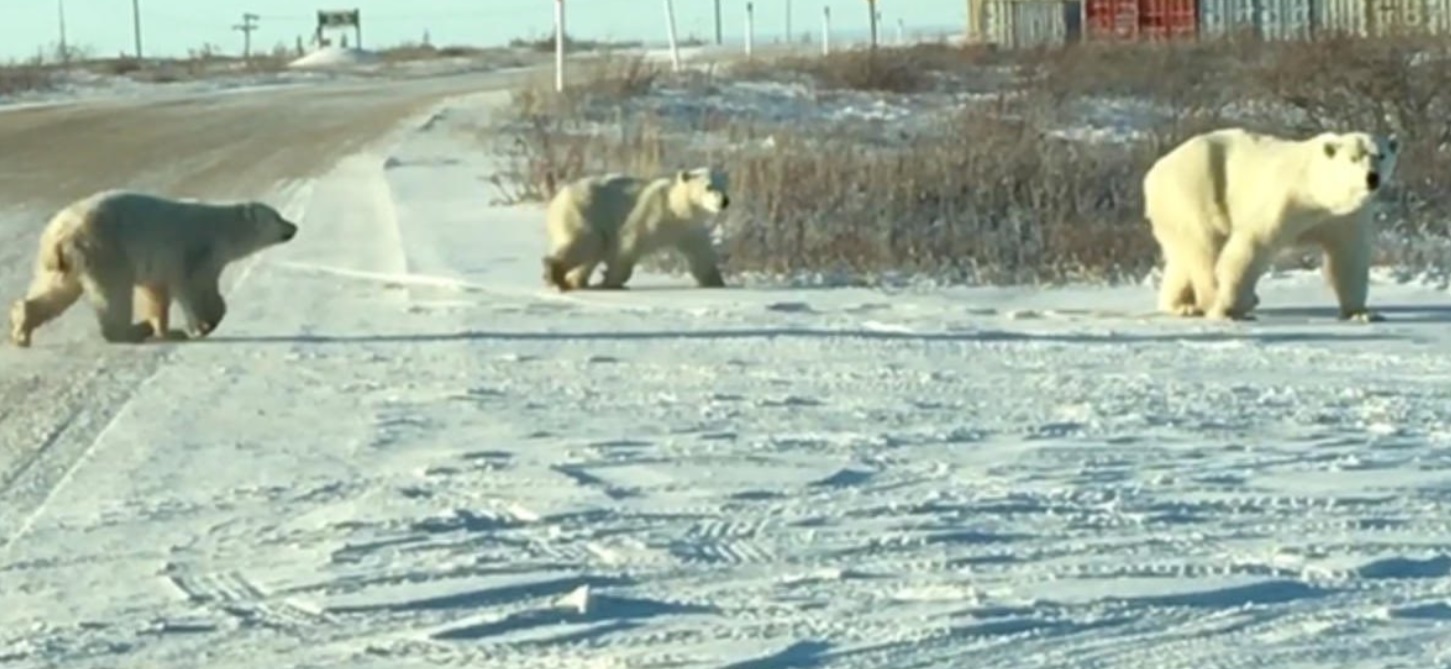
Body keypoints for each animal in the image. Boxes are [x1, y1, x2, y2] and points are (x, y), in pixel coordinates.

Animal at [7, 185, 303, 343]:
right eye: (278, 217)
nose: (294, 227)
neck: (223, 229)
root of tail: (58, 234)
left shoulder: (165, 264)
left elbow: (157, 293)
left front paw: (168, 329)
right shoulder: (196, 250)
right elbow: (193, 287)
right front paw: (202, 325)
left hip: (63, 263)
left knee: (55, 290)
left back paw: (22, 328)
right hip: (103, 249)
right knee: (113, 294)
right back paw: (134, 330)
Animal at [542, 166, 731, 288]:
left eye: (725, 185)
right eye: (708, 186)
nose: (724, 201)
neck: (676, 210)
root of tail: (557, 198)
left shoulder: (690, 230)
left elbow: (701, 257)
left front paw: (717, 283)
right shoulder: (649, 214)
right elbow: (628, 245)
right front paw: (610, 282)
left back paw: (576, 281)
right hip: (584, 211)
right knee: (588, 241)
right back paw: (556, 274)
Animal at [1137, 126, 1398, 320]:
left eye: (1381, 155)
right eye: (1353, 158)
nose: (1372, 177)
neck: (1316, 190)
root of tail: (1154, 171)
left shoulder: (1345, 217)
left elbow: (1348, 257)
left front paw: (1362, 313)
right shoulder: (1285, 201)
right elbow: (1251, 245)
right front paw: (1231, 308)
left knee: (1182, 255)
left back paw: (1182, 306)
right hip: (1195, 188)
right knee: (1205, 245)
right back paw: (1219, 302)